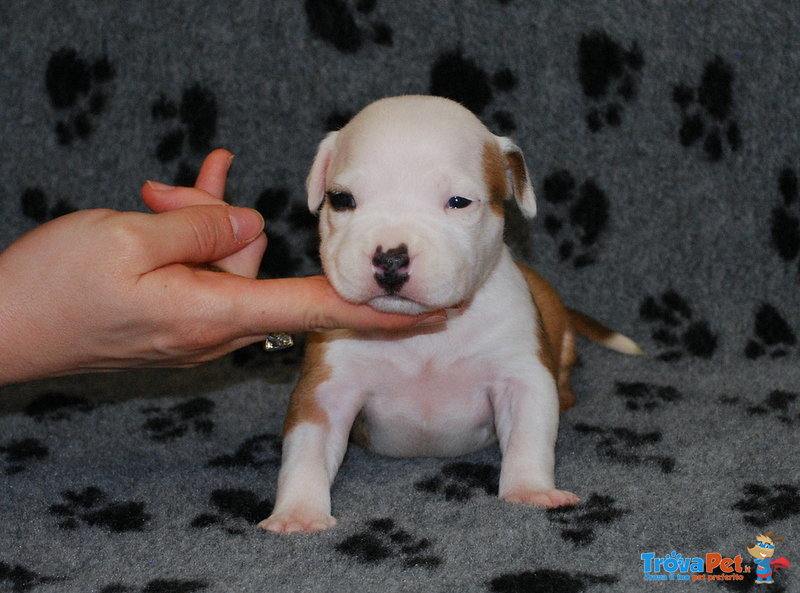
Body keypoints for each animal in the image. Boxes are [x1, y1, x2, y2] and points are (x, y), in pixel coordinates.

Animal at [260, 96, 640, 532]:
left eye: (458, 202)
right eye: (342, 199)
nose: (391, 259)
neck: (425, 335)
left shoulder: (521, 373)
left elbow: (530, 433)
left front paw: (531, 490)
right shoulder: (327, 388)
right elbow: (306, 447)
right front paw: (298, 513)